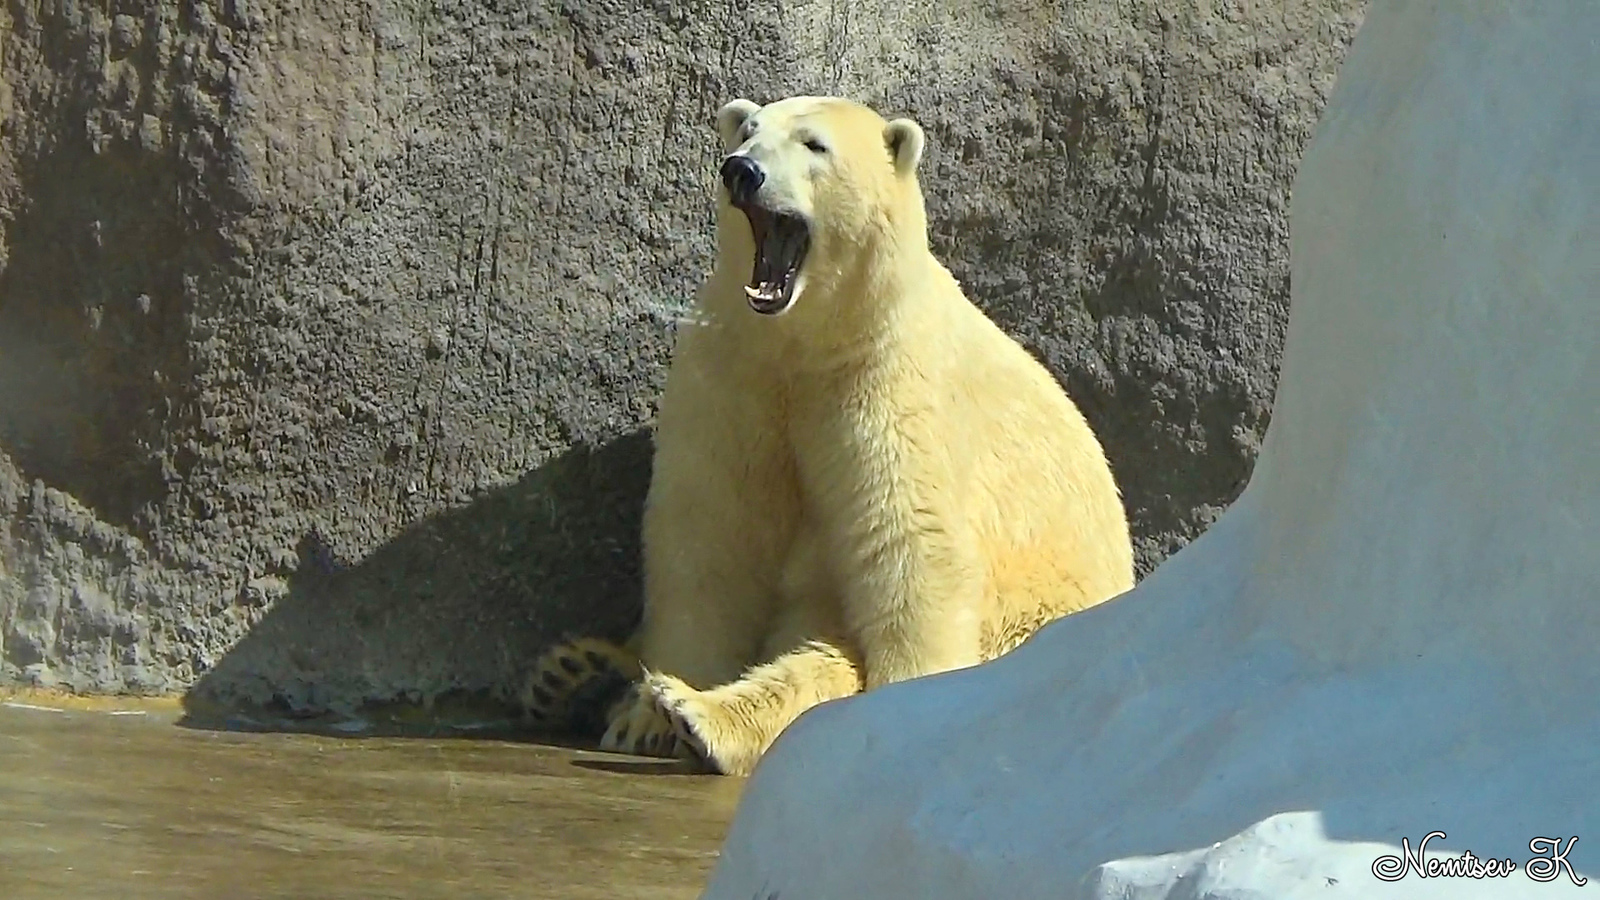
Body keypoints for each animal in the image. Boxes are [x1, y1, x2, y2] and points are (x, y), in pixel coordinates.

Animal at [518, 94, 1132, 775]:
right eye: (747, 131)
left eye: (814, 145)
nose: (741, 171)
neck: (807, 341)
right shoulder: (736, 371)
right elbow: (710, 534)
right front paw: (642, 717)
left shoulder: (886, 384)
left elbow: (911, 543)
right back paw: (585, 673)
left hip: (1032, 614)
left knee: (832, 659)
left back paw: (698, 717)